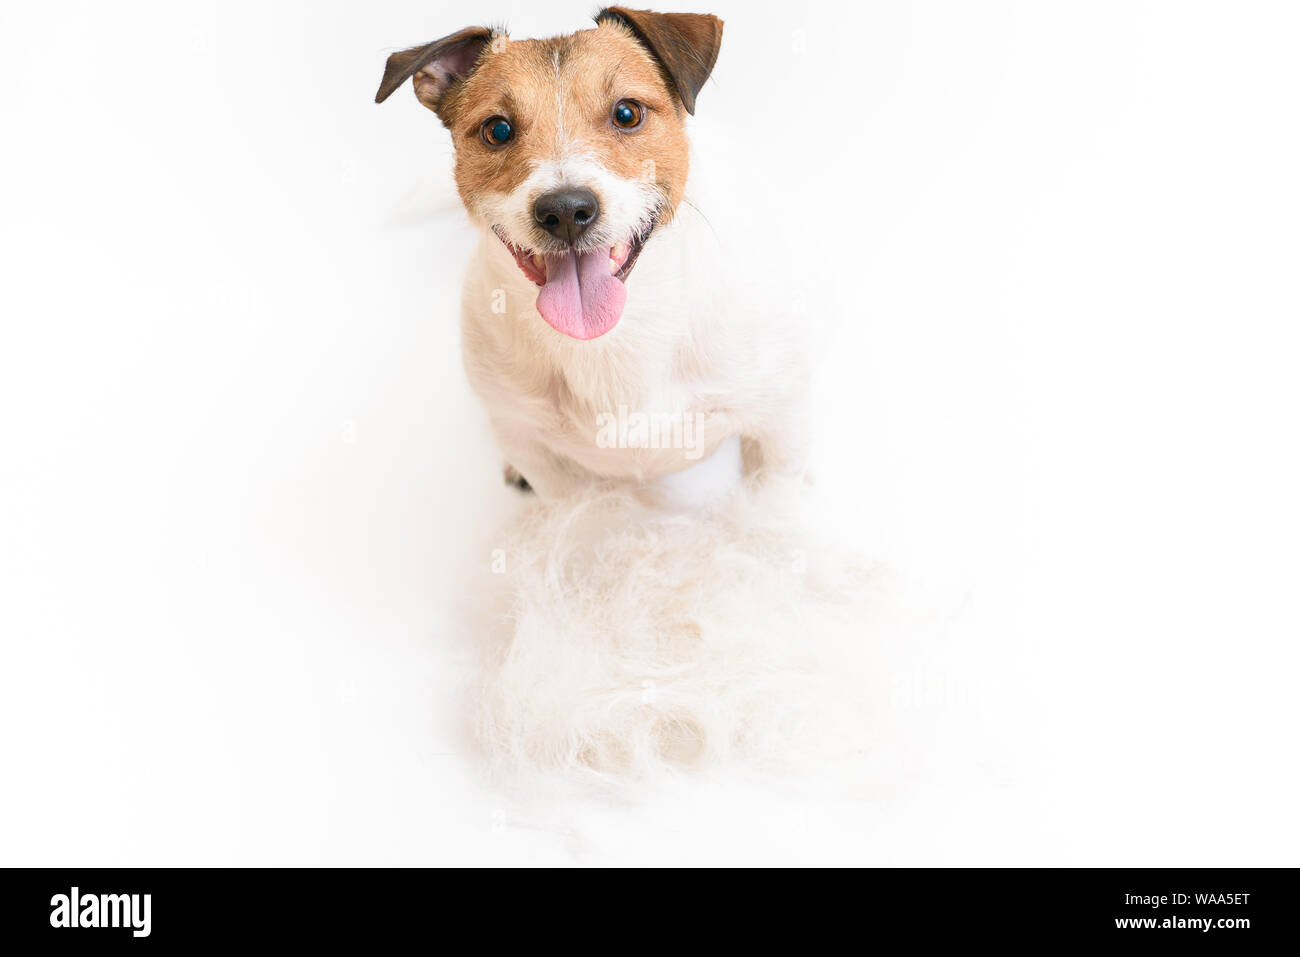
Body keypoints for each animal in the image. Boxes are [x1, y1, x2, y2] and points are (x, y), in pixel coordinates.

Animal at [371, 9, 806, 501]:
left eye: (627, 113)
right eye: (497, 130)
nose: (565, 211)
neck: (608, 340)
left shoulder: (777, 426)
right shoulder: (541, 458)